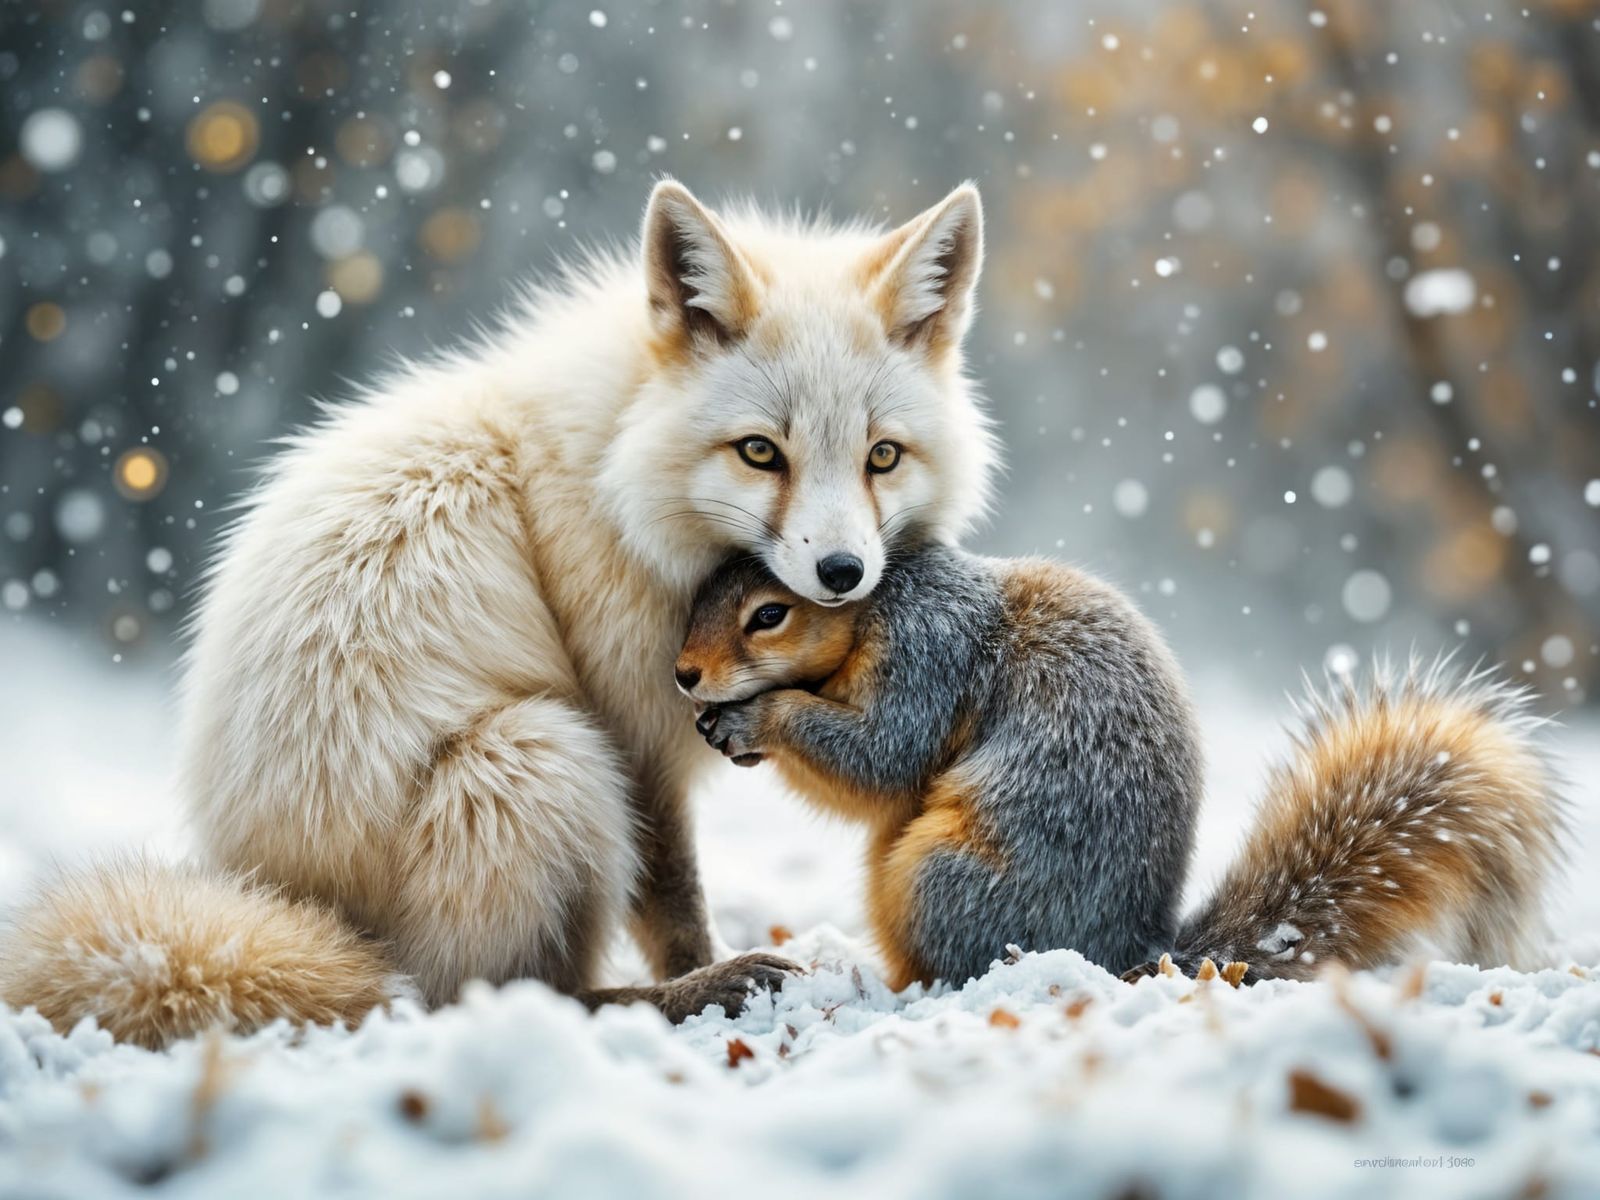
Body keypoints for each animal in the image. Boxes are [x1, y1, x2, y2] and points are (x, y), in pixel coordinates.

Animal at [0, 180, 1000, 1048]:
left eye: (881, 456)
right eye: (760, 452)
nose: (842, 573)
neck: (614, 479)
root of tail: (305, 911)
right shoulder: (633, 732)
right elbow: (675, 904)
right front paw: (705, 967)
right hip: (542, 756)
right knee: (494, 994)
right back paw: (680, 996)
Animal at [675, 546, 1566, 990]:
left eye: (769, 614)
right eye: (700, 594)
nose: (684, 674)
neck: (878, 604)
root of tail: (1131, 954)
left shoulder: (931, 650)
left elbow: (883, 754)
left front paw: (757, 717)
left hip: (939, 878)